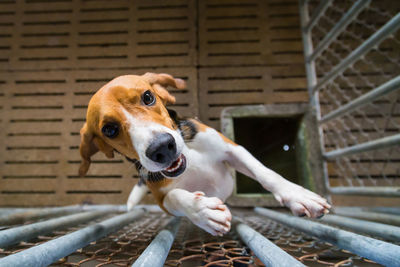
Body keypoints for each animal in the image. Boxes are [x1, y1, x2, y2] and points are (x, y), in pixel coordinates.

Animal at [79, 73, 332, 237]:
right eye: (109, 130)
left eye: (148, 97)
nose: (161, 148)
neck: (190, 160)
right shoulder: (162, 199)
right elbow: (176, 197)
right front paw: (203, 211)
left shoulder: (233, 149)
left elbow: (266, 173)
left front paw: (298, 195)